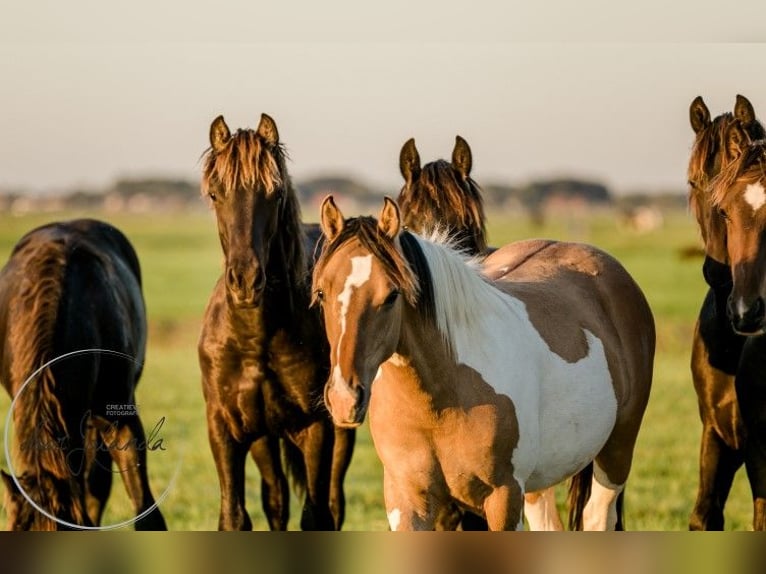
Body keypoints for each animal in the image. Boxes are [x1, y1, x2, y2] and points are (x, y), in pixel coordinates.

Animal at [198, 113, 355, 530]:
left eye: (275, 194)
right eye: (215, 194)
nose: (246, 281)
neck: (257, 340)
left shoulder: (317, 428)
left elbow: (317, 515)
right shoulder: (225, 430)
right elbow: (235, 516)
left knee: (334, 501)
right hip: (263, 440)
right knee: (276, 499)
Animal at [312, 196, 655, 530]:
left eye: (392, 295)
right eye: (321, 293)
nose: (344, 398)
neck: (445, 398)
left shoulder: (504, 496)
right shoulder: (407, 500)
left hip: (617, 450)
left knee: (598, 515)